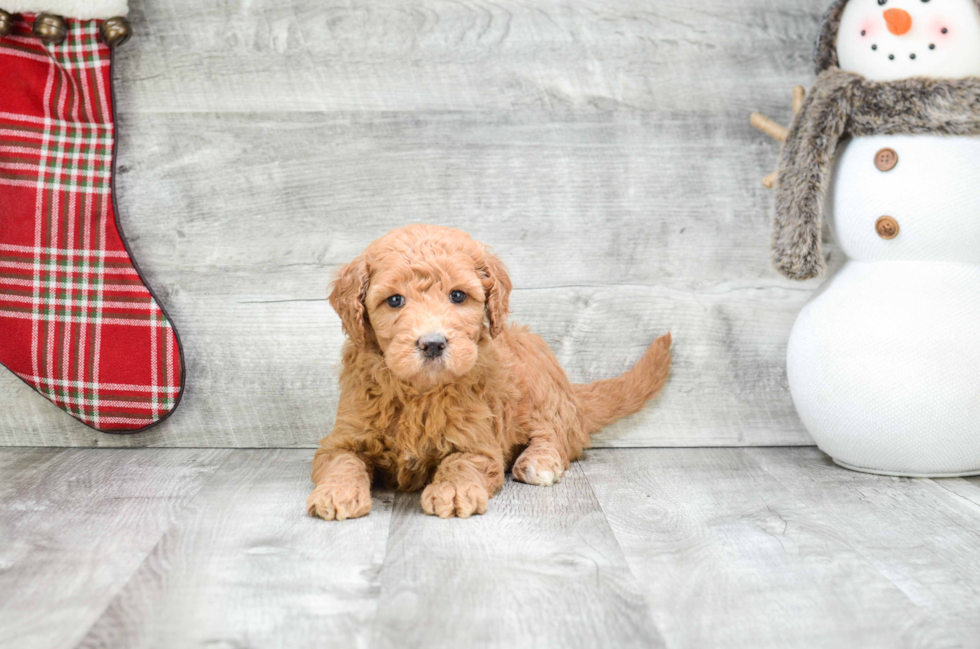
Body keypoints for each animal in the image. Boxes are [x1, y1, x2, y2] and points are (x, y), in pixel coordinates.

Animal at [310, 225, 668, 520]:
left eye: (457, 296)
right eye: (395, 300)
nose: (433, 344)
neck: (419, 392)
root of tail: (569, 389)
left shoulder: (477, 442)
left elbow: (461, 462)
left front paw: (453, 491)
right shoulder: (344, 436)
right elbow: (342, 461)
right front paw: (337, 492)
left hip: (541, 387)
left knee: (557, 435)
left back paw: (538, 462)